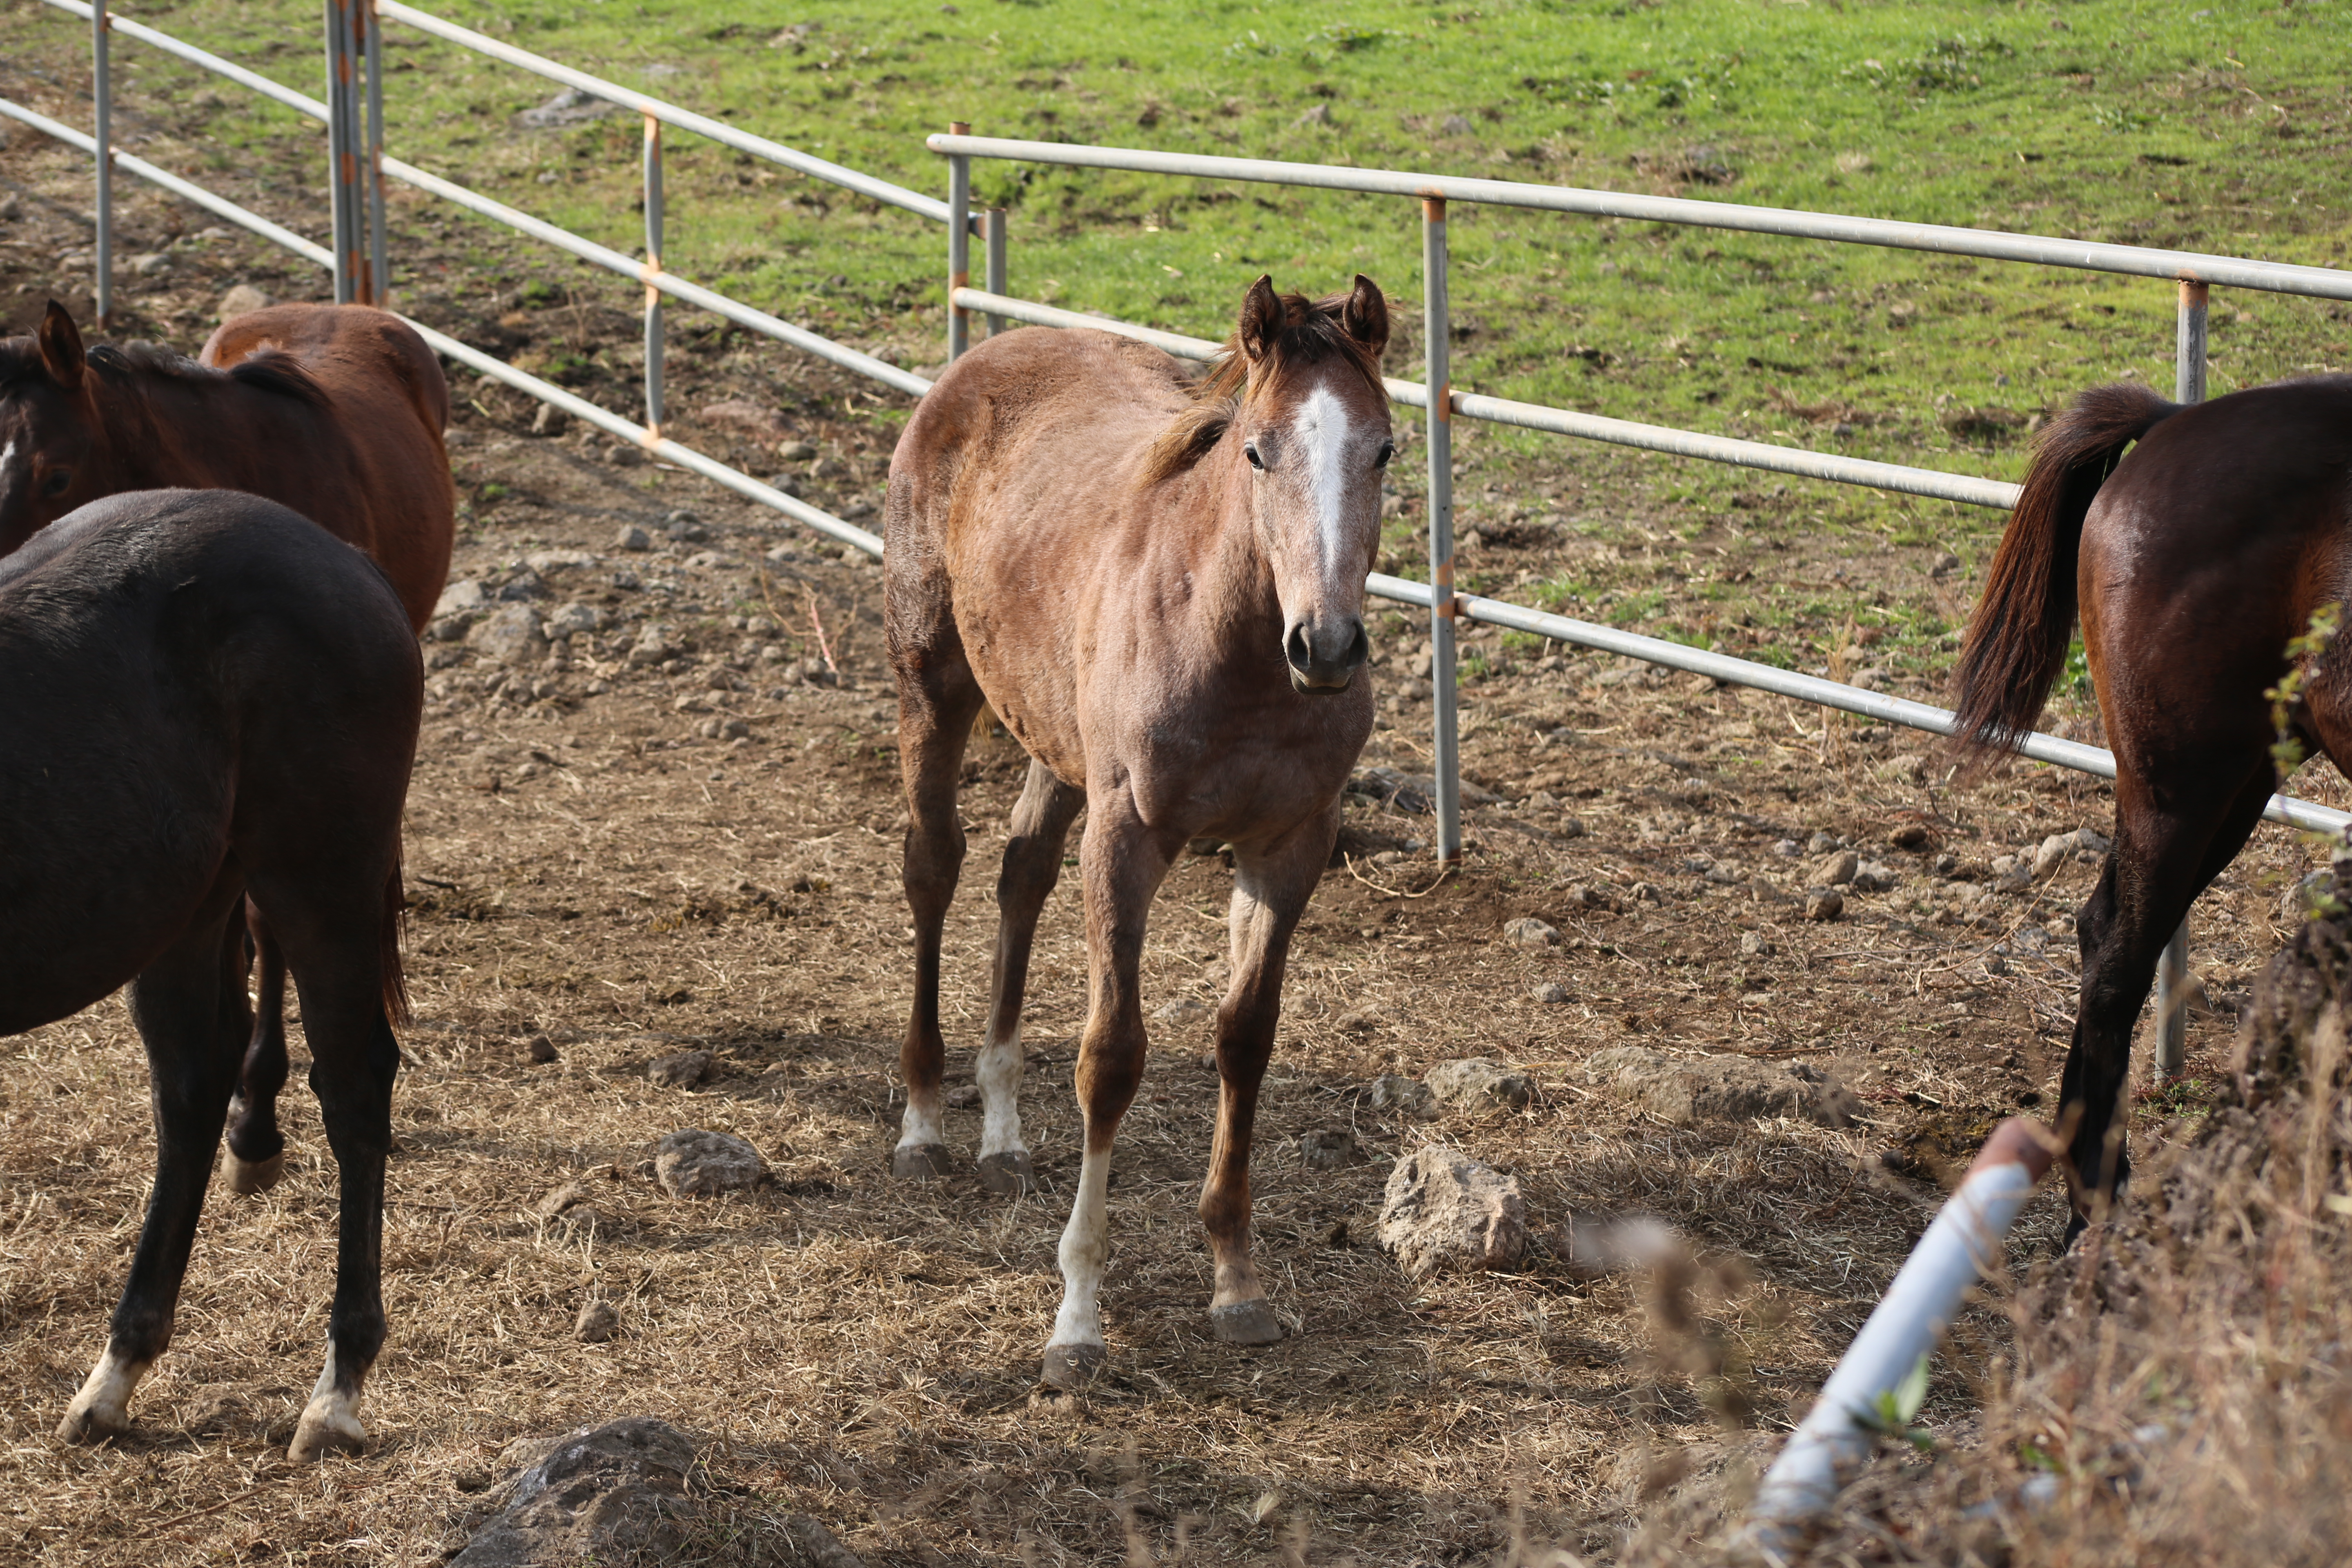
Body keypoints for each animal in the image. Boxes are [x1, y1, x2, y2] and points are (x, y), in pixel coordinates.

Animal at [3, 486, 423, 1457]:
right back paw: (117, 1372)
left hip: (320, 883)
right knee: (194, 1089)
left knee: (354, 1090)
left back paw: (335, 1392)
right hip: (188, 908)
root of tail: (341, 556)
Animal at [884, 278, 1392, 1382]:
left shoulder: (1288, 849)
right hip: (933, 681)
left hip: (1055, 737)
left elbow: (1245, 1039)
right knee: (933, 866)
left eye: (1383, 449)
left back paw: (999, 1130)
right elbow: (1111, 1057)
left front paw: (1238, 1283)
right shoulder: (1126, 842)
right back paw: (922, 1122)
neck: (1234, 647)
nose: (1327, 645)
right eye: (1257, 450)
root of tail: (976, 362)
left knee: (1021, 869)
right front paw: (1076, 1320)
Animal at [1947, 376, 2352, 1222]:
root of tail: (2171, 421)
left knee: (2102, 931)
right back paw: (2094, 1208)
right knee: (2115, 965)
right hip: (2183, 788)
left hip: (2234, 784)